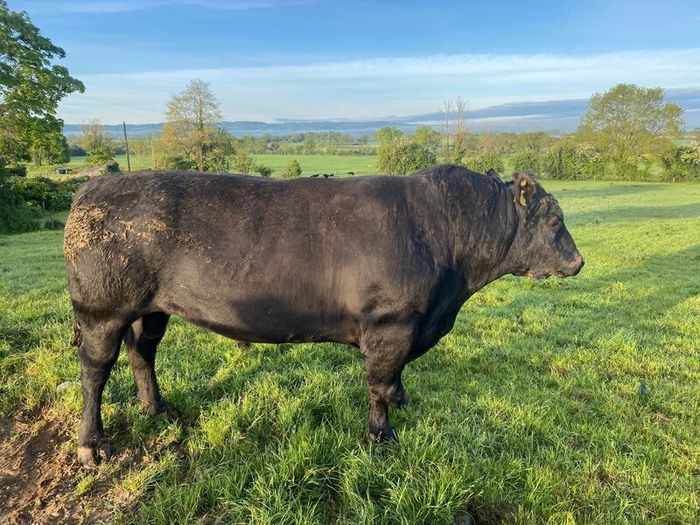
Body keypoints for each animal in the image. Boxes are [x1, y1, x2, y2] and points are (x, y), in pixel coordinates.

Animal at [64, 164, 583, 468]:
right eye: (555, 221)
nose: (578, 263)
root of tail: (92, 186)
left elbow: (395, 380)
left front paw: (402, 401)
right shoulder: (390, 324)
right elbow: (379, 383)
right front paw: (381, 437)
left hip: (150, 309)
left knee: (142, 352)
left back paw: (157, 408)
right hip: (101, 309)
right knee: (95, 371)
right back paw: (93, 445)